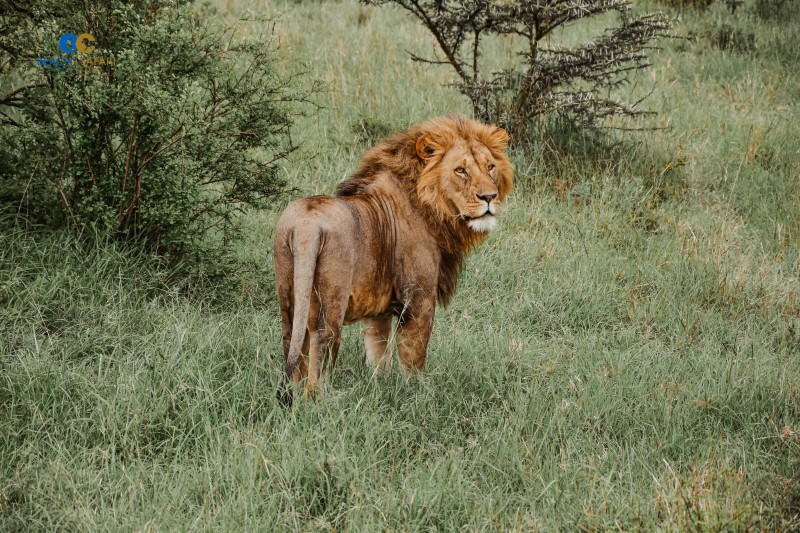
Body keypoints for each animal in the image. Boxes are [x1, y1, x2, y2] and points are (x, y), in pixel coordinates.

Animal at [273, 115, 513, 404]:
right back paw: (320, 402)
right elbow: (413, 355)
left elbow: (378, 355)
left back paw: (294, 398)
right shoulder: (418, 299)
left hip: (289, 294)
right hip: (331, 300)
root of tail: (306, 226)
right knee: (321, 346)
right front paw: (417, 394)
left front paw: (379, 388)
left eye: (490, 167)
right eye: (460, 171)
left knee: (292, 343)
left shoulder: (379, 310)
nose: (489, 197)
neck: (433, 209)